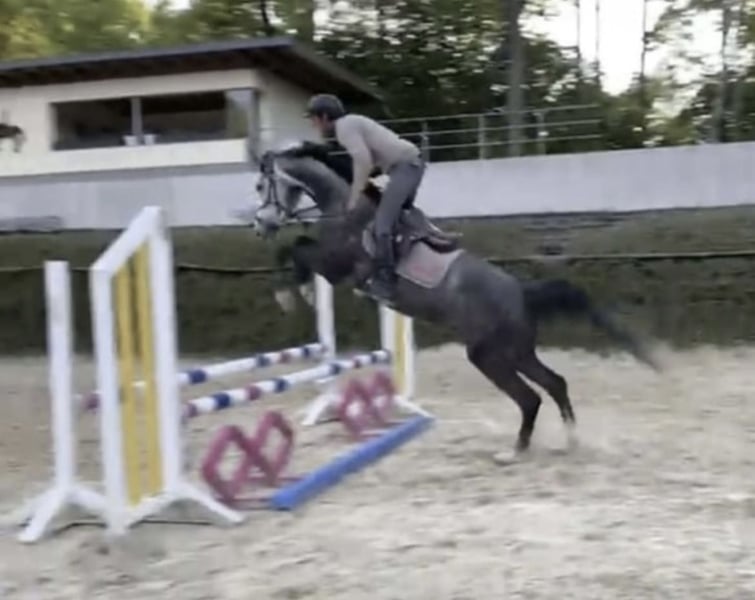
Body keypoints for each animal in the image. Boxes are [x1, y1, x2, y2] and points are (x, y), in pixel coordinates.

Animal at [245, 143, 660, 463]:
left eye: (260, 184)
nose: (259, 226)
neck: (343, 207)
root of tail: (520, 292)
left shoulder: (338, 267)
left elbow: (296, 250)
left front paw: (292, 293)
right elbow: (296, 247)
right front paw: (296, 290)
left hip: (487, 354)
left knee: (529, 398)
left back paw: (514, 452)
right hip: (517, 351)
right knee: (555, 384)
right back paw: (569, 440)